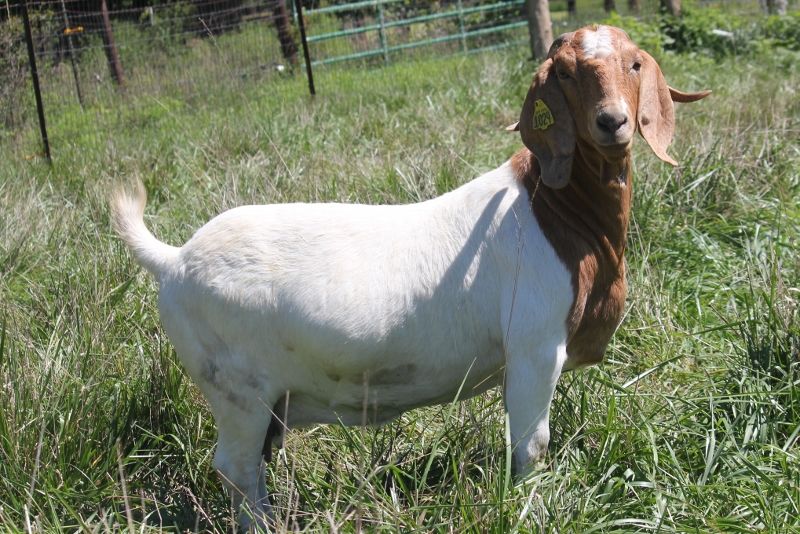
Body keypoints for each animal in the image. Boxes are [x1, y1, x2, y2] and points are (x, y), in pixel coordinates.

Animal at [111, 25, 708, 532]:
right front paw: (528, 507)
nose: (612, 122)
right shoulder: (536, 346)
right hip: (236, 389)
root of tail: (173, 259)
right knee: (235, 467)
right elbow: (530, 445)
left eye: (634, 63)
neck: (555, 211)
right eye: (563, 72)